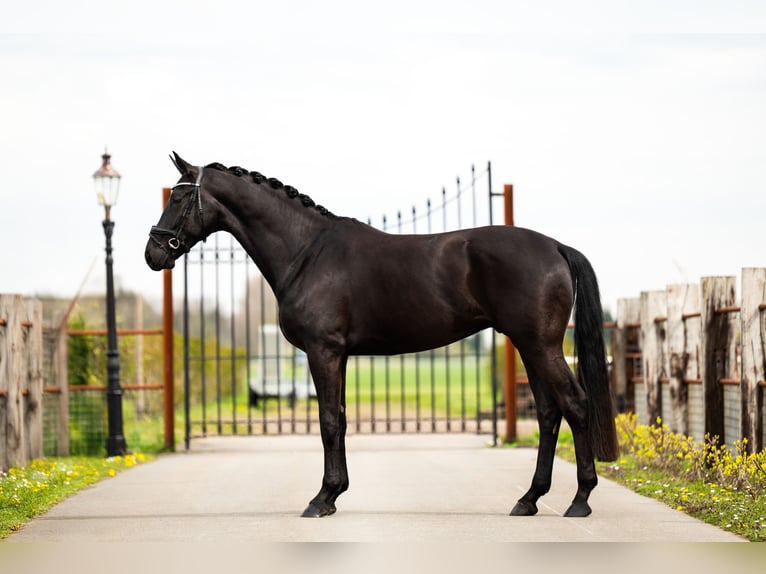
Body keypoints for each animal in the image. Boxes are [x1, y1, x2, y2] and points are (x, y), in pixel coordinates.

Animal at [145, 152, 618, 519]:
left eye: (182, 196)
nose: (153, 253)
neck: (307, 251)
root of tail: (555, 246)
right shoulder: (339, 355)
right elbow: (340, 418)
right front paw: (335, 494)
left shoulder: (323, 351)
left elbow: (328, 421)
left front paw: (320, 499)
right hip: (528, 345)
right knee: (548, 414)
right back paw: (529, 499)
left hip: (540, 345)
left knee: (575, 405)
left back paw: (579, 500)